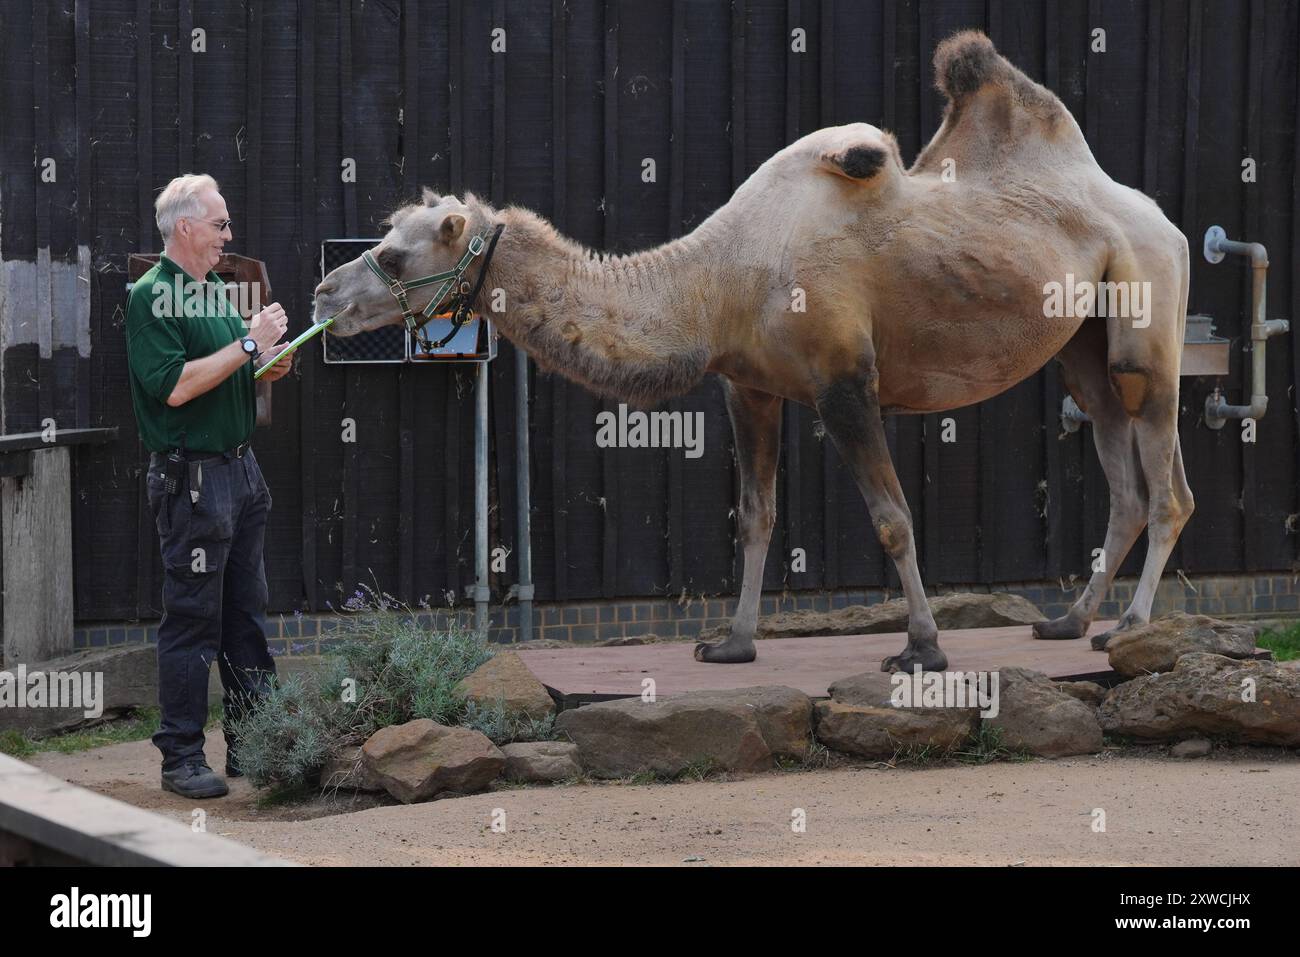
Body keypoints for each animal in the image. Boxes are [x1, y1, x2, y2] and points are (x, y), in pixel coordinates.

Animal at [315, 31, 1192, 673]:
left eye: (394, 254)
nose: (323, 295)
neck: (722, 277)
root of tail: (1160, 216)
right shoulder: (749, 387)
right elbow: (757, 517)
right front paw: (732, 642)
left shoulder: (845, 382)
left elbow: (892, 519)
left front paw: (922, 647)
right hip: (1081, 344)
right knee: (1123, 478)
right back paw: (1070, 620)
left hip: (1147, 314)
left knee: (1167, 481)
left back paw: (1130, 626)